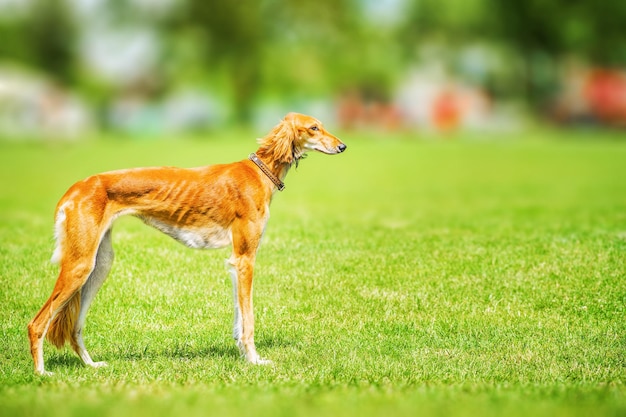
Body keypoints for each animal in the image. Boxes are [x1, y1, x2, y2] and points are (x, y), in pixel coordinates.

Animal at [28, 112, 346, 376]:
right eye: (314, 127)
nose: (342, 146)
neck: (259, 172)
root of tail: (76, 188)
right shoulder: (245, 257)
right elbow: (249, 319)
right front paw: (255, 360)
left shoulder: (235, 262)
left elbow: (238, 317)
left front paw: (244, 356)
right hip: (80, 265)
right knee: (37, 323)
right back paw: (42, 373)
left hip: (99, 264)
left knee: (75, 328)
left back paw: (91, 365)